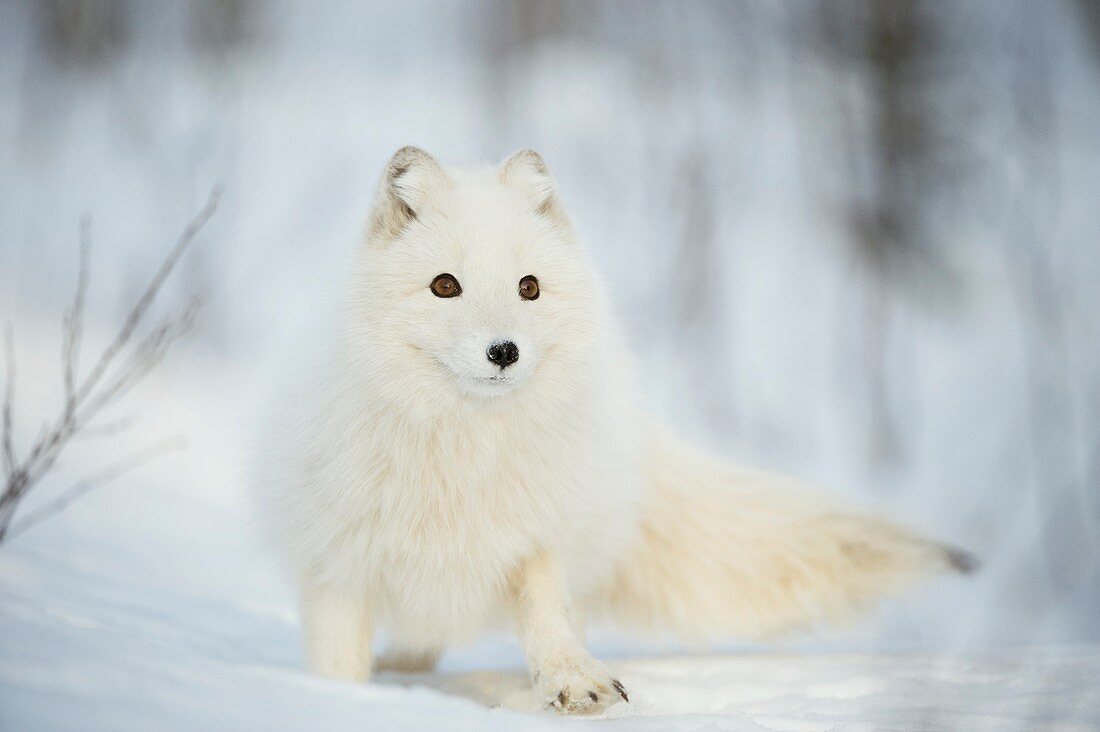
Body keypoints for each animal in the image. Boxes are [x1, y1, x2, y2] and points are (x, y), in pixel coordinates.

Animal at [255, 147, 972, 713]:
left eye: (529, 287)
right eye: (445, 285)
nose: (504, 352)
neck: (466, 449)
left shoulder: (540, 533)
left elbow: (548, 615)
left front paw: (574, 682)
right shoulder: (336, 564)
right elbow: (338, 661)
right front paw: (340, 703)